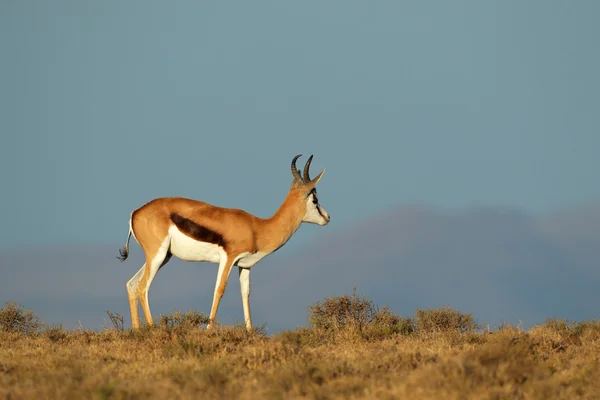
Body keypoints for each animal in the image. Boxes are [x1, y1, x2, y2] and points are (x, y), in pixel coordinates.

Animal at [116, 155, 332, 330]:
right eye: (315, 199)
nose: (327, 218)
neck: (258, 228)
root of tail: (136, 212)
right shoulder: (228, 258)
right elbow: (219, 290)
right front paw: (209, 331)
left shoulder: (244, 265)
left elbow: (245, 293)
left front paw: (250, 332)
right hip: (158, 255)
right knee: (142, 287)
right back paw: (153, 328)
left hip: (162, 257)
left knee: (131, 285)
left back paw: (137, 331)